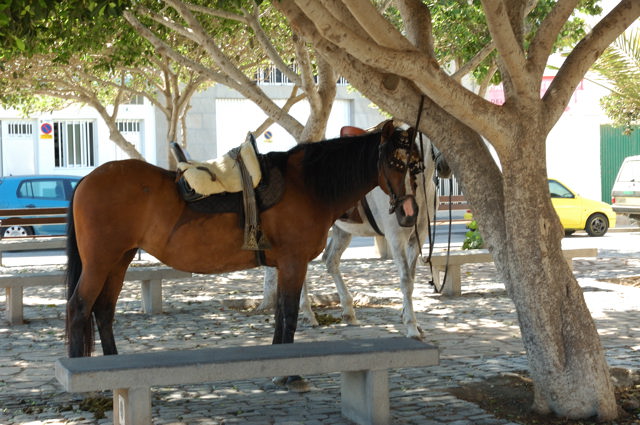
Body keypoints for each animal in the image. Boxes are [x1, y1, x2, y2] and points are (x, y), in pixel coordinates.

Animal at [64, 121, 418, 373]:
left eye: (416, 165)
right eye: (395, 162)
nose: (409, 212)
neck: (308, 185)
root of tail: (87, 180)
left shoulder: (286, 266)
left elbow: (280, 315)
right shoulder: (293, 263)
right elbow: (289, 316)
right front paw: (289, 374)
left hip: (119, 260)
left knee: (104, 311)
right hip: (100, 262)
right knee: (79, 307)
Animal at [259, 126, 449, 339]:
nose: (446, 166)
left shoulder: (418, 237)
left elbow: (412, 278)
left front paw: (409, 319)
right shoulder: (395, 237)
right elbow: (406, 279)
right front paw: (411, 326)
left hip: (341, 231)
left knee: (330, 260)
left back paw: (348, 312)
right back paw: (309, 314)